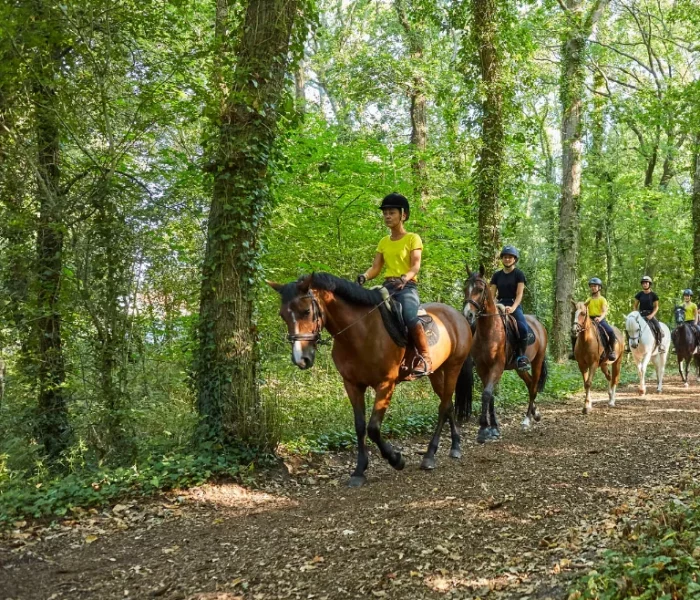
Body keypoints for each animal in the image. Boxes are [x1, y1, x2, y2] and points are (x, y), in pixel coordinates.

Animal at [268, 273, 473, 487]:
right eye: (282, 315)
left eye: (306, 311)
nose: (301, 359)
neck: (360, 331)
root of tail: (458, 316)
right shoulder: (352, 385)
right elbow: (360, 426)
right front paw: (359, 470)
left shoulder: (386, 384)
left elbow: (373, 428)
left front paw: (396, 459)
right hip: (436, 372)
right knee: (448, 404)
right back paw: (455, 446)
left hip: (453, 367)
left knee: (443, 407)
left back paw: (430, 455)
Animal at [462, 266, 548, 443]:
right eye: (465, 289)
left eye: (480, 289)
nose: (468, 315)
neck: (488, 330)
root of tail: (539, 325)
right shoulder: (482, 368)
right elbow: (490, 395)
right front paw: (492, 428)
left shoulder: (497, 366)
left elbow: (486, 394)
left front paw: (483, 429)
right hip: (518, 368)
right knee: (530, 383)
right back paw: (535, 414)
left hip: (537, 361)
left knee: (533, 386)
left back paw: (527, 419)